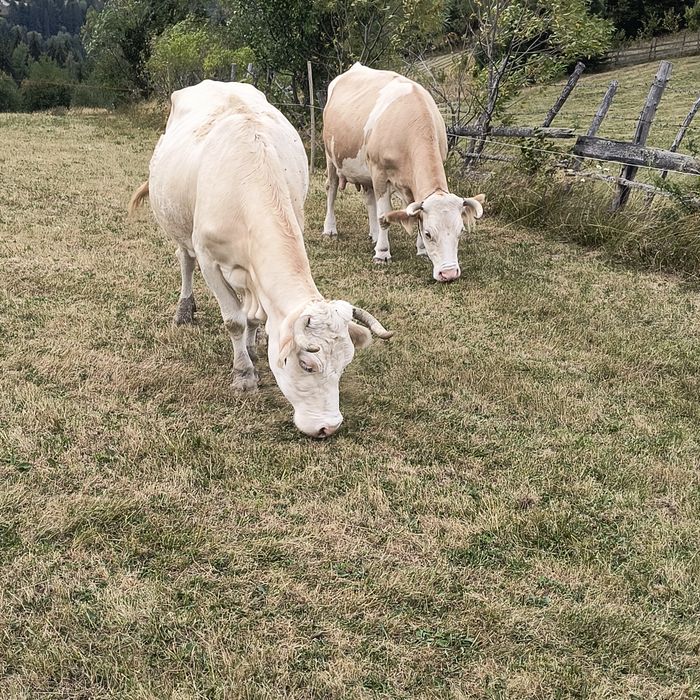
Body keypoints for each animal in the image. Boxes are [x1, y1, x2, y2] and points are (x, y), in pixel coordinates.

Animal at [129, 80, 393, 438]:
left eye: (344, 365)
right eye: (307, 364)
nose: (329, 426)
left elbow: (253, 318)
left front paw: (253, 350)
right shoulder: (210, 260)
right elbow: (234, 320)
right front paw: (243, 374)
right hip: (178, 223)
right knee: (185, 260)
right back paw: (184, 309)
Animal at [322, 63, 485, 282]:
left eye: (460, 231)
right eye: (429, 233)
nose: (449, 273)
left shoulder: (408, 182)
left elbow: (413, 213)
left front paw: (421, 250)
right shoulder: (380, 173)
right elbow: (384, 216)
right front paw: (382, 253)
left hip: (366, 173)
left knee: (369, 199)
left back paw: (374, 234)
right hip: (331, 157)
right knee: (331, 190)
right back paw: (330, 229)